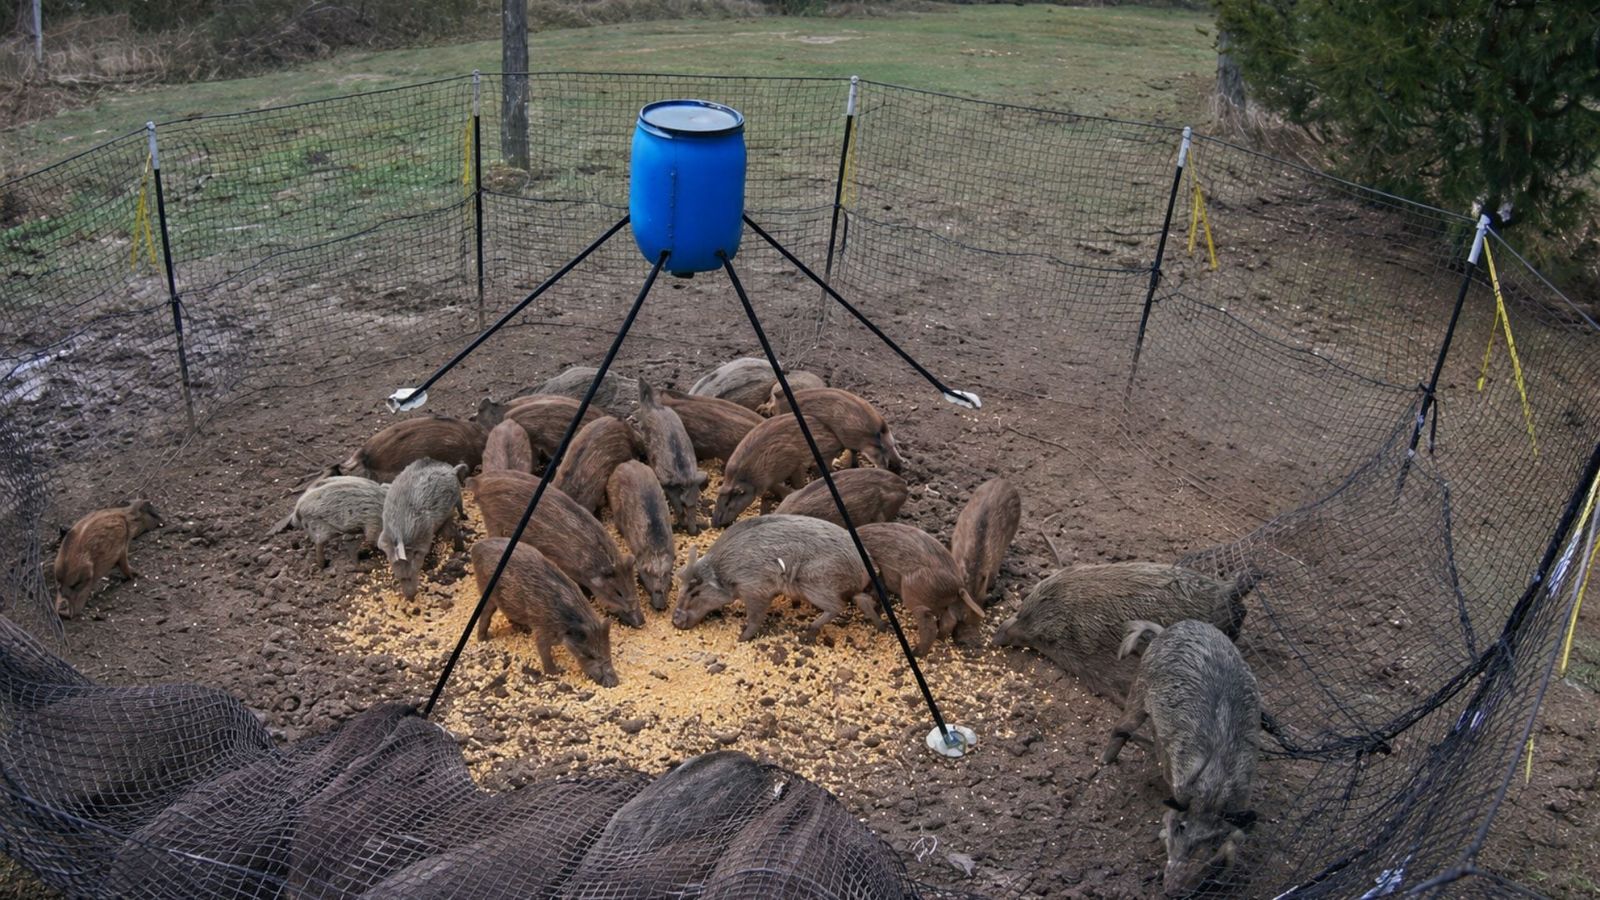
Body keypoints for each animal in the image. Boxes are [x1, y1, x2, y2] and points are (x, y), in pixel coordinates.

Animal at [377, 459, 467, 601]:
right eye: (399, 578)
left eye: (411, 574)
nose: (410, 597)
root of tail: (451, 470)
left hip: (457, 493)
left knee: (459, 507)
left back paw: (463, 519)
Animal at [470, 538, 618, 687]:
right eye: (589, 654)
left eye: (608, 650)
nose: (614, 683)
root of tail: (476, 547)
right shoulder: (541, 628)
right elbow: (543, 650)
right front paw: (556, 673)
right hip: (486, 592)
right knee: (485, 614)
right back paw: (485, 639)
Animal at [673, 514, 874, 642]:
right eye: (681, 588)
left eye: (695, 592)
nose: (674, 621)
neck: (725, 570)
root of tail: (865, 568)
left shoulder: (756, 589)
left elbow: (755, 617)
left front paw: (741, 638)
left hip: (814, 582)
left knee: (837, 606)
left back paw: (806, 630)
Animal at [857, 523, 984, 656]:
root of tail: (958, 584)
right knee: (949, 619)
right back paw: (940, 638)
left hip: (913, 595)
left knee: (929, 626)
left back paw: (916, 652)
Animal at [1103, 620, 1260, 897]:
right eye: (1181, 828)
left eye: (1213, 840)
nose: (1172, 889)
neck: (1215, 786)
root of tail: (1166, 629)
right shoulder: (1178, 786)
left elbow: (1236, 840)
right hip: (1140, 686)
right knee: (1121, 727)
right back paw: (1105, 762)